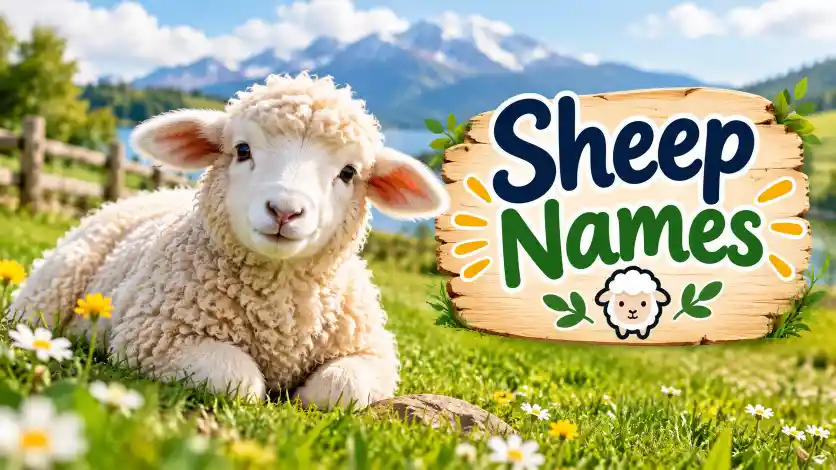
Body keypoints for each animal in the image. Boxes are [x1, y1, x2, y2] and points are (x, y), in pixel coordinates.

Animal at [8, 71, 450, 409]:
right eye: (242, 150)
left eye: (348, 172)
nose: (284, 211)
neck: (279, 319)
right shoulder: (155, 336)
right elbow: (237, 379)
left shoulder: (372, 352)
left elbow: (341, 388)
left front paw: (304, 396)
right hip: (57, 279)